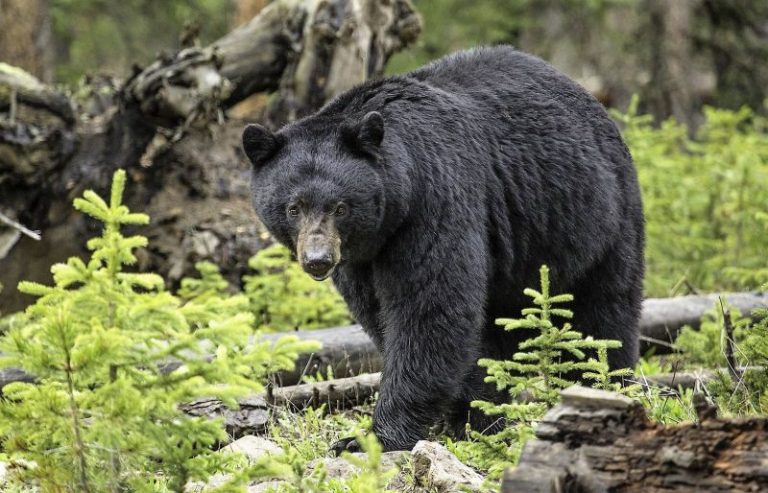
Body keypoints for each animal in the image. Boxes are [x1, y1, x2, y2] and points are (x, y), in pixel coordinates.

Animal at [242, 46, 644, 452]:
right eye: (293, 207)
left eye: (340, 207)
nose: (318, 260)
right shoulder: (361, 259)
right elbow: (382, 314)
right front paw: (471, 415)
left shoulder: (435, 201)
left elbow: (430, 311)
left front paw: (373, 437)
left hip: (597, 219)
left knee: (602, 314)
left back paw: (601, 386)